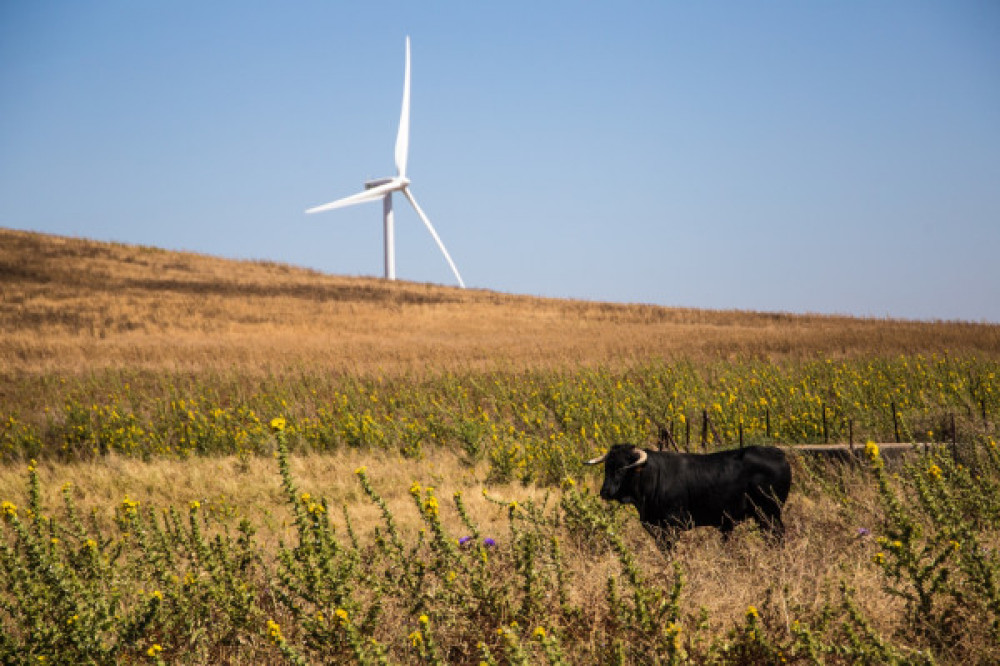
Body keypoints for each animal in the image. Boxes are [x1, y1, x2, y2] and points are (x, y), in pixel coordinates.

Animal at [584, 440, 792, 544]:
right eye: (607, 466)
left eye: (622, 467)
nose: (605, 491)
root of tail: (778, 453)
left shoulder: (672, 526)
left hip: (770, 513)